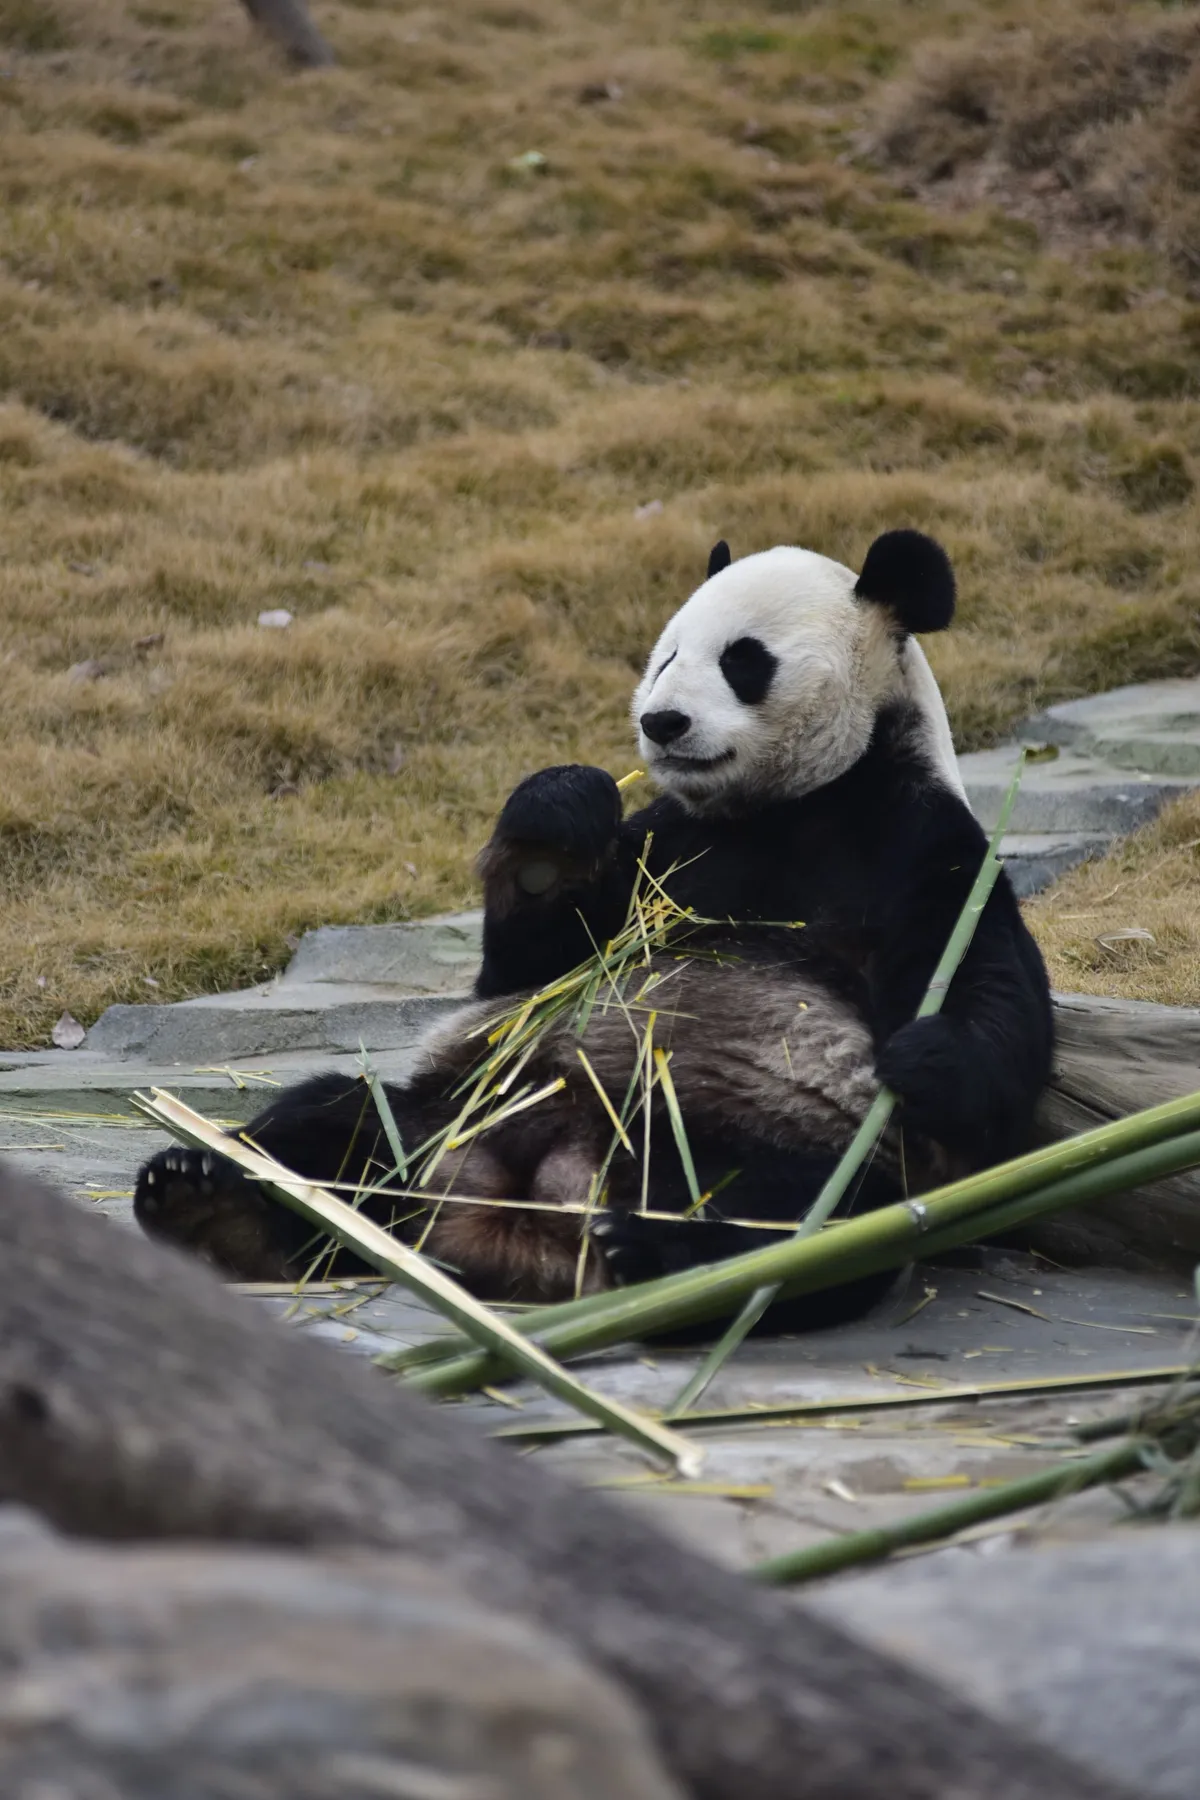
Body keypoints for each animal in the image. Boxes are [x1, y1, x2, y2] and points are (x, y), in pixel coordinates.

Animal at [134, 529, 1054, 1333]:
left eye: (743, 660)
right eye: (668, 655)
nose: (663, 723)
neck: (791, 803)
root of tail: (519, 1210)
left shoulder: (921, 844)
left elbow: (989, 1006)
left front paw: (925, 1056)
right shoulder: (665, 845)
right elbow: (529, 966)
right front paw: (554, 824)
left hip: (748, 1146)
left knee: (805, 1219)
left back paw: (653, 1254)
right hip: (461, 1106)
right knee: (333, 1121)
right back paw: (210, 1202)